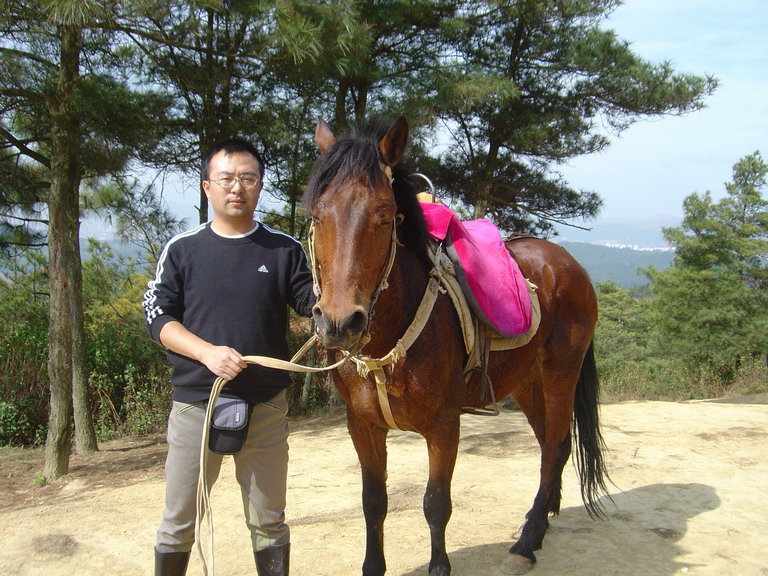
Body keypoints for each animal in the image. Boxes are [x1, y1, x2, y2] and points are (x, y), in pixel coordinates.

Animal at [304, 117, 608, 576]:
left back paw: (527, 542)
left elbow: (435, 505)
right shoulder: (363, 426)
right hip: (527, 380)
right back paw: (541, 517)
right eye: (318, 215)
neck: (388, 349)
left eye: (384, 217)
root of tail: (569, 264)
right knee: (548, 445)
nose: (339, 323)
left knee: (556, 446)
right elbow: (373, 503)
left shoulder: (444, 426)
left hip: (561, 370)